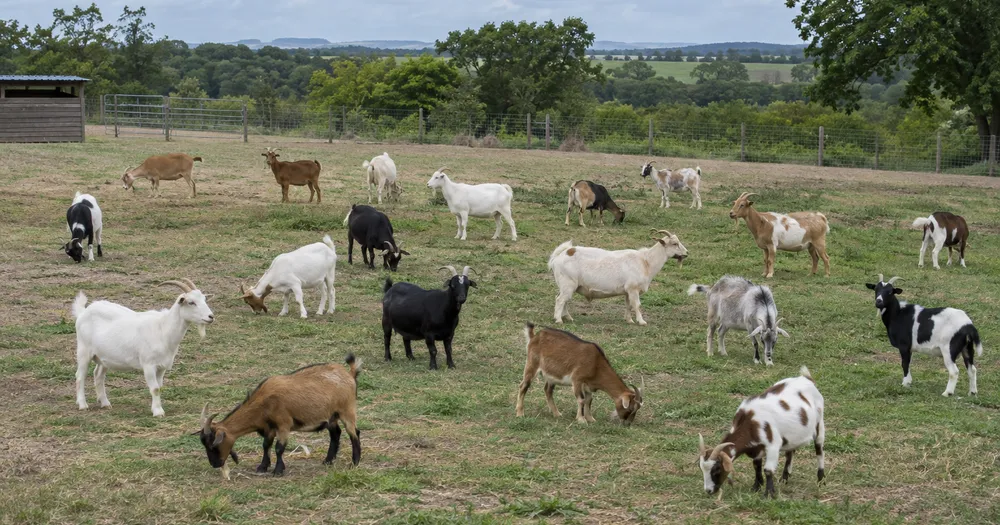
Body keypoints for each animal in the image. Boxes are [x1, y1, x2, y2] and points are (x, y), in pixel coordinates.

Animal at [72, 279, 214, 417]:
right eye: (191, 302)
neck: (162, 329)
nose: (211, 316)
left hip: (103, 356)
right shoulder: (148, 364)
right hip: (83, 350)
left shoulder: (162, 367)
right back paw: (83, 405)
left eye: (204, 299)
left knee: (98, 375)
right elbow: (155, 388)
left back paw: (105, 403)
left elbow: (159, 387)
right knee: (80, 376)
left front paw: (156, 408)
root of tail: (83, 312)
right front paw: (158, 412)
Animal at [197, 354, 362, 479]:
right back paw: (328, 461)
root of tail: (349, 374)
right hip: (331, 416)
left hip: (347, 410)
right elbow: (266, 445)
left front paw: (278, 470)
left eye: (214, 445)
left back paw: (354, 462)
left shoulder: (283, 425)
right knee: (336, 433)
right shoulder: (269, 427)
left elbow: (279, 448)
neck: (264, 402)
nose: (215, 464)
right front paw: (262, 467)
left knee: (354, 433)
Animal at [548, 230, 687, 326]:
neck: (646, 262)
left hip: (567, 285)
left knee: (563, 299)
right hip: (568, 283)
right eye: (675, 243)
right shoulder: (633, 288)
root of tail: (562, 254)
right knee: (560, 300)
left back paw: (568, 317)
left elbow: (629, 305)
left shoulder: (627, 291)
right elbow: (637, 305)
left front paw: (629, 320)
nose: (686, 253)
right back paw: (559, 320)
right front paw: (641, 321)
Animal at [698, 366, 825, 499]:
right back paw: (784, 479)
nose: (709, 491)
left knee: (819, 450)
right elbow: (756, 465)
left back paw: (821, 480)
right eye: (702, 468)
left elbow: (768, 470)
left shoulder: (773, 445)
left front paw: (769, 493)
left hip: (820, 423)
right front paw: (756, 486)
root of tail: (806, 378)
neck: (750, 422)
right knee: (790, 452)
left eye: (717, 469)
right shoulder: (756, 448)